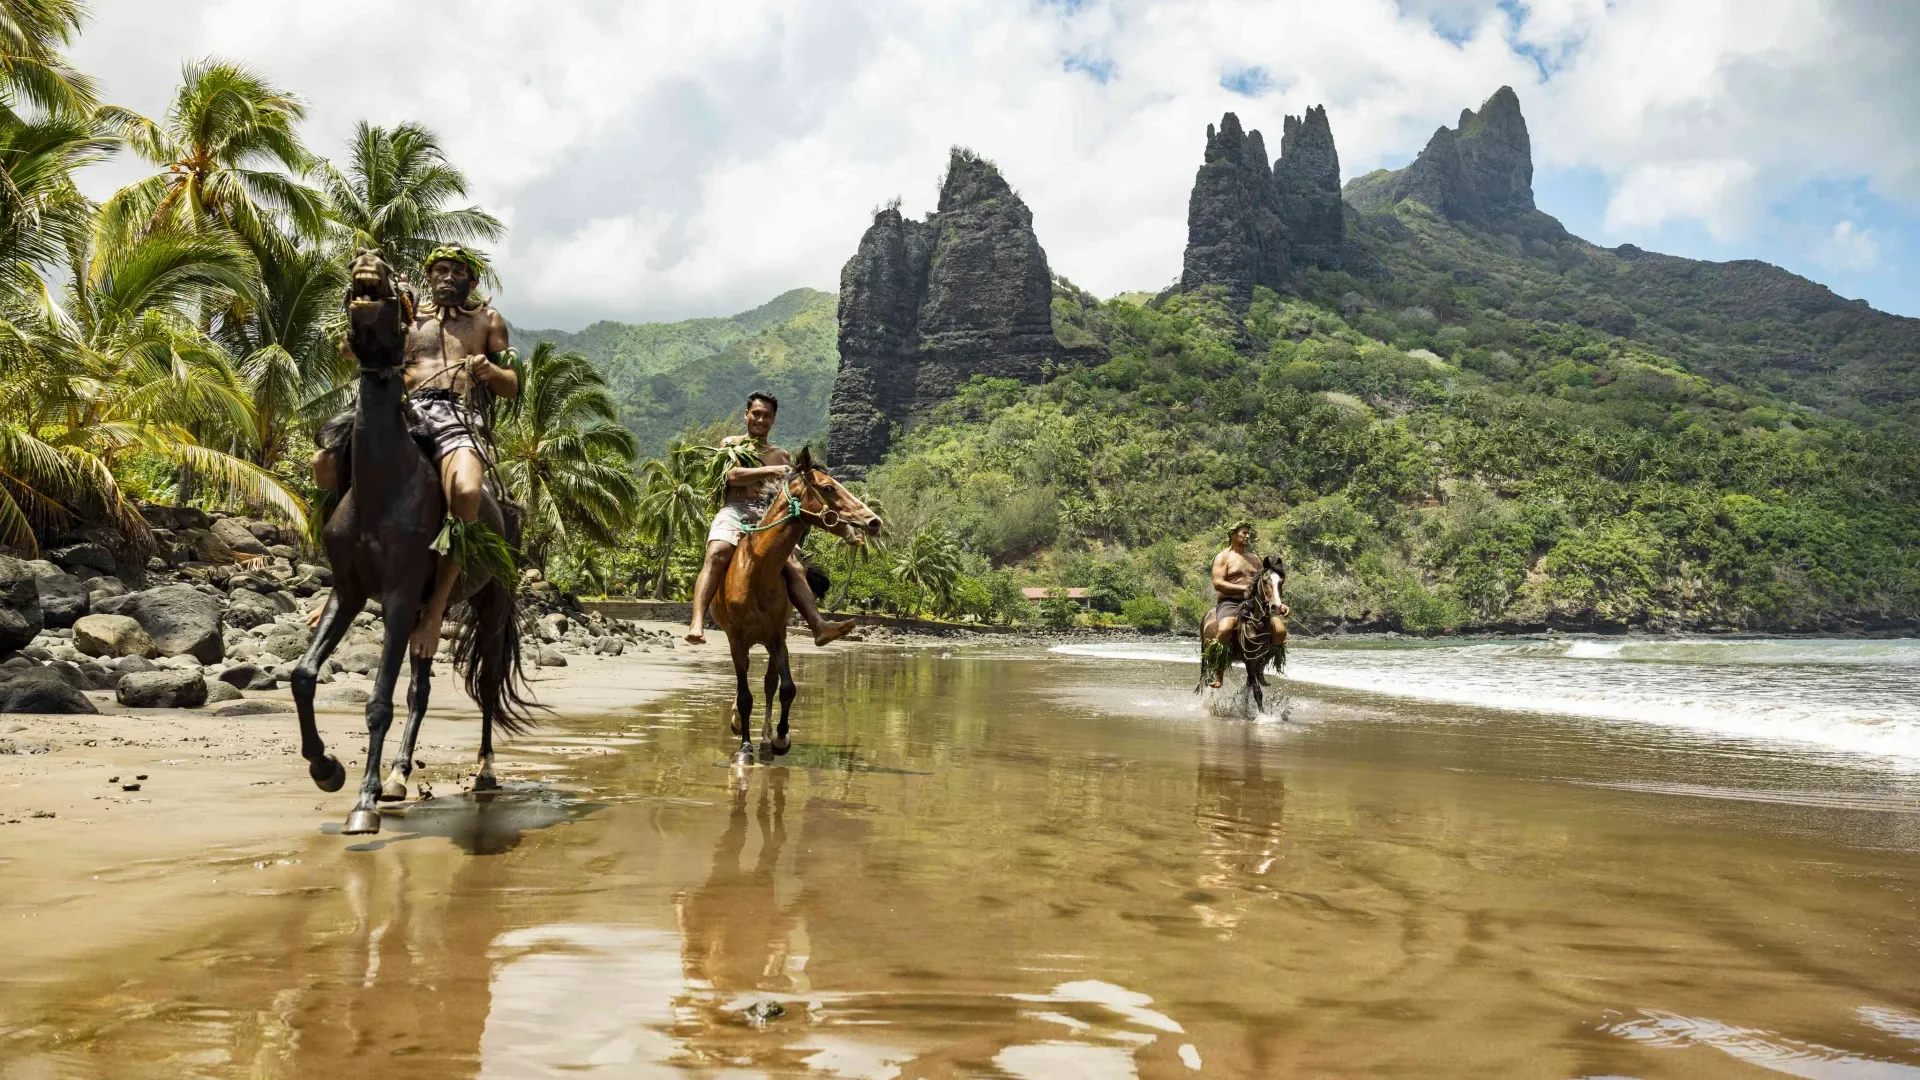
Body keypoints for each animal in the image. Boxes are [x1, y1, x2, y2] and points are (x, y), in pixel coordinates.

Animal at [284, 251, 529, 834]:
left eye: (400, 298)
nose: (367, 261)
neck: (383, 488)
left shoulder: (396, 597)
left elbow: (378, 701)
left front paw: (363, 803)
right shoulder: (349, 591)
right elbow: (303, 676)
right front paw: (327, 769)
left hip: (489, 604)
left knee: (487, 685)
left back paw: (483, 772)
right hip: (423, 614)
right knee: (421, 687)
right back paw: (397, 776)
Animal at [710, 445, 879, 764]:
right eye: (828, 488)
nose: (874, 521)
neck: (756, 572)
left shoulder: (778, 637)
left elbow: (786, 688)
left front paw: (779, 739)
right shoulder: (736, 639)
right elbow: (745, 695)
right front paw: (745, 748)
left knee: (769, 683)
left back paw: (765, 740)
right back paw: (740, 726)